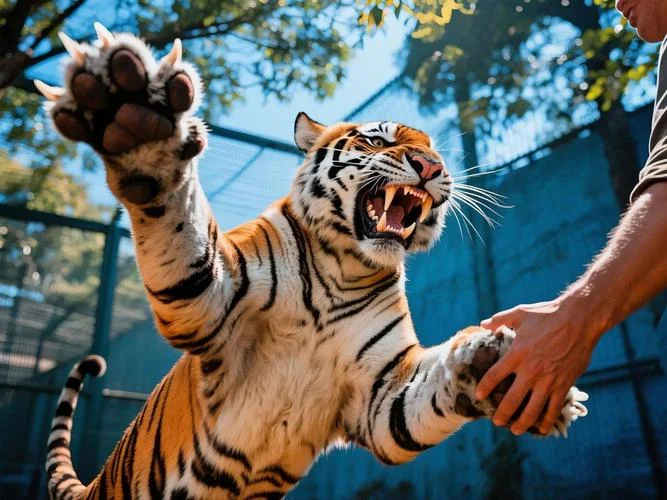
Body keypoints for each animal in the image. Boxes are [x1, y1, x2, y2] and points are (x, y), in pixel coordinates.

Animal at [36, 24, 589, 500]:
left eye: (436, 151)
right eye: (378, 139)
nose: (432, 167)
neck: (346, 268)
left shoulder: (382, 395)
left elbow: (429, 388)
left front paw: (496, 364)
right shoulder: (208, 297)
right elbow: (180, 220)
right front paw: (137, 120)